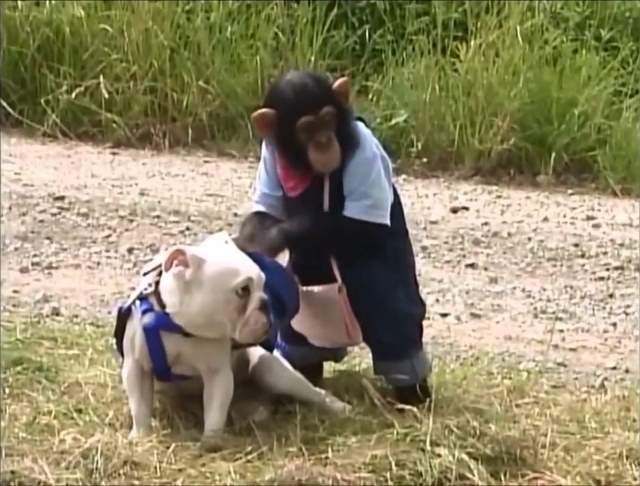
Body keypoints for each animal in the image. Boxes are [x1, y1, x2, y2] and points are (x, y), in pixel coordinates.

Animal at [234, 70, 430, 404]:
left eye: (327, 120)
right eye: (306, 129)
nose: (324, 141)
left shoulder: (367, 154)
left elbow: (363, 227)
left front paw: (272, 238)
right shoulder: (269, 155)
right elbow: (264, 212)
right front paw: (248, 244)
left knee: (396, 328)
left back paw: (413, 394)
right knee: (299, 336)